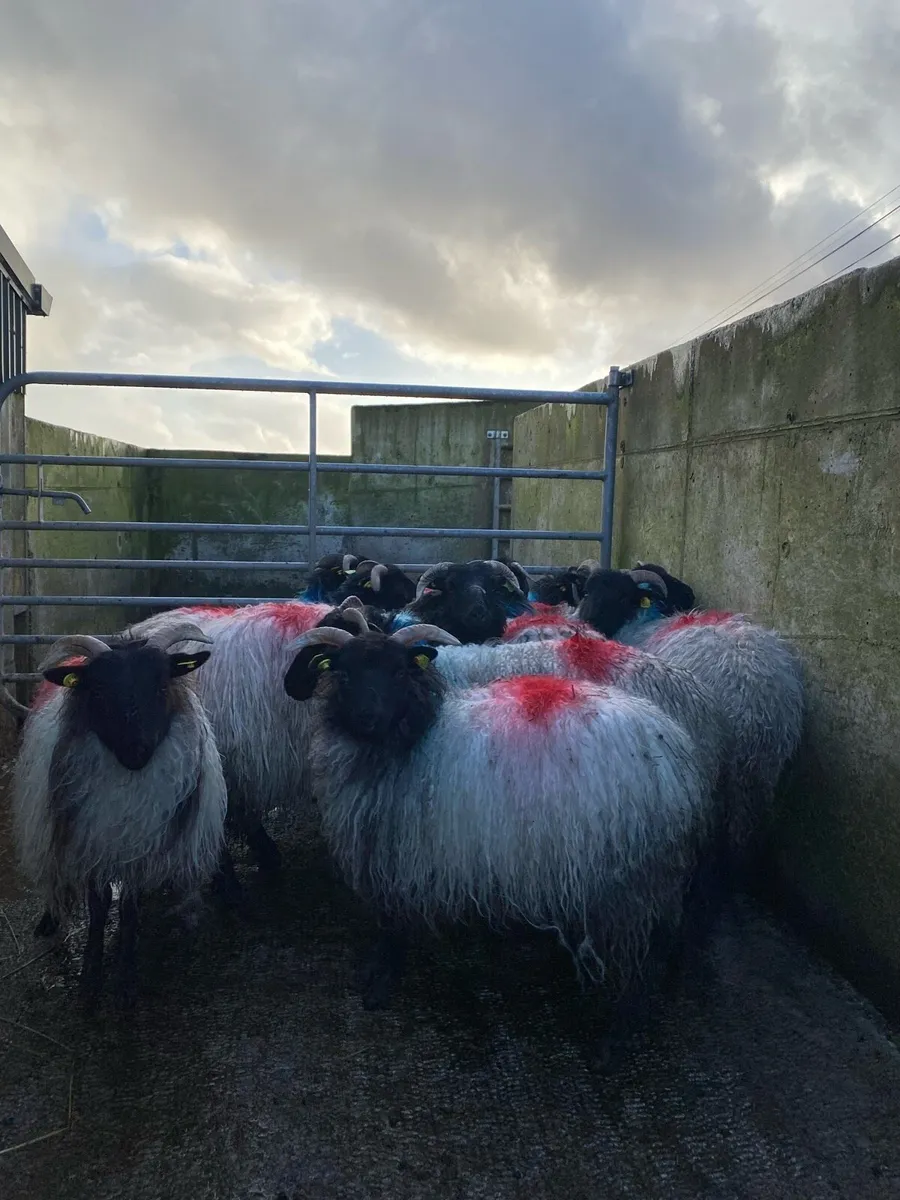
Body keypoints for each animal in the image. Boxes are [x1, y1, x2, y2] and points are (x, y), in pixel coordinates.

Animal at [12, 622, 227, 1010]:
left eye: (161, 686)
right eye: (98, 692)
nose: (136, 750)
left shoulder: (139, 851)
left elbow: (128, 910)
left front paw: (125, 979)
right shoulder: (90, 846)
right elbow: (99, 909)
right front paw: (89, 980)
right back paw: (49, 921)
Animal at [283, 623, 716, 1020]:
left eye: (399, 672)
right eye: (344, 674)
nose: (368, 717)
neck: (414, 737)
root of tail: (678, 749)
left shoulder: (402, 857)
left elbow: (392, 924)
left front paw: (380, 981)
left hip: (631, 881)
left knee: (647, 953)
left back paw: (621, 1025)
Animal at [578, 568, 805, 862]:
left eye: (621, 596)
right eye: (587, 591)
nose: (587, 621)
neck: (641, 622)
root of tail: (752, 696)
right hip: (762, 771)